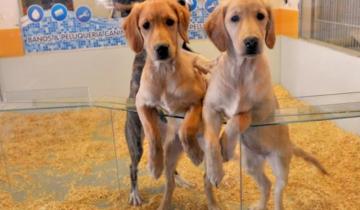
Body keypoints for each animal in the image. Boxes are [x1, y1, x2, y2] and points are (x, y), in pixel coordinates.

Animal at [202, 0, 330, 209]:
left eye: (260, 16)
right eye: (234, 18)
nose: (252, 42)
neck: (241, 71)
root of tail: (290, 145)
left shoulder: (262, 112)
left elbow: (239, 118)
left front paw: (227, 147)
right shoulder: (210, 108)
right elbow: (211, 140)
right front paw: (215, 171)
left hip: (280, 165)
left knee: (278, 191)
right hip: (250, 164)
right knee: (266, 185)